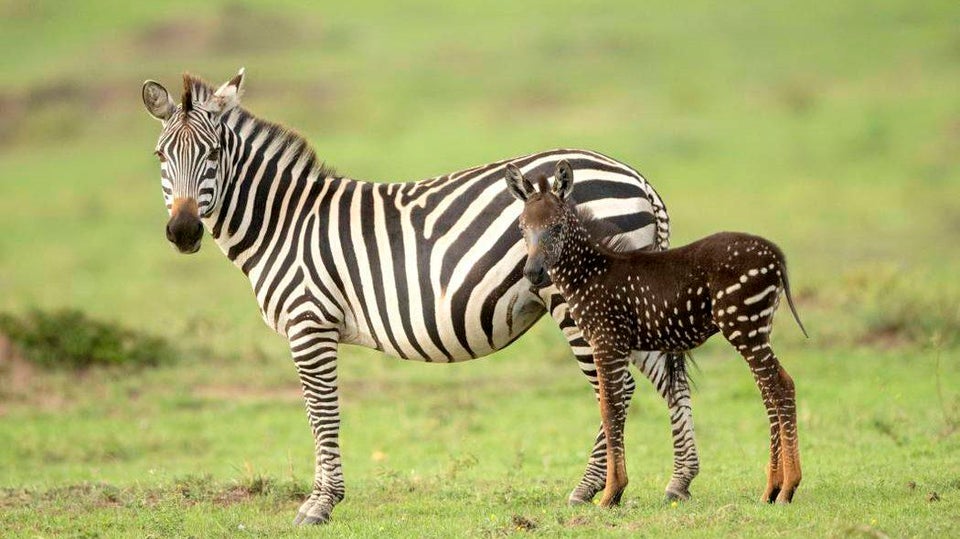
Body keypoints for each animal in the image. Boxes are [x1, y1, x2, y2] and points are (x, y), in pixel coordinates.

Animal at [140, 68, 698, 524]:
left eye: (213, 154)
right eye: (161, 156)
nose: (183, 232)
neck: (285, 224)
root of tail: (637, 177)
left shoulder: (310, 323)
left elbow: (322, 411)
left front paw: (320, 504)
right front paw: (323, 499)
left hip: (580, 297)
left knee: (616, 386)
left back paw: (594, 491)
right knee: (663, 379)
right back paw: (678, 482)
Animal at [508, 160, 807, 506]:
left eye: (556, 227)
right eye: (521, 228)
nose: (533, 273)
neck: (590, 273)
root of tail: (775, 254)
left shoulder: (607, 341)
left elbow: (610, 409)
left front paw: (610, 493)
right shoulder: (617, 344)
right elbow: (614, 407)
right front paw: (614, 491)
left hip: (744, 325)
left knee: (778, 387)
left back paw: (787, 487)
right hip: (757, 327)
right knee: (773, 388)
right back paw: (773, 488)